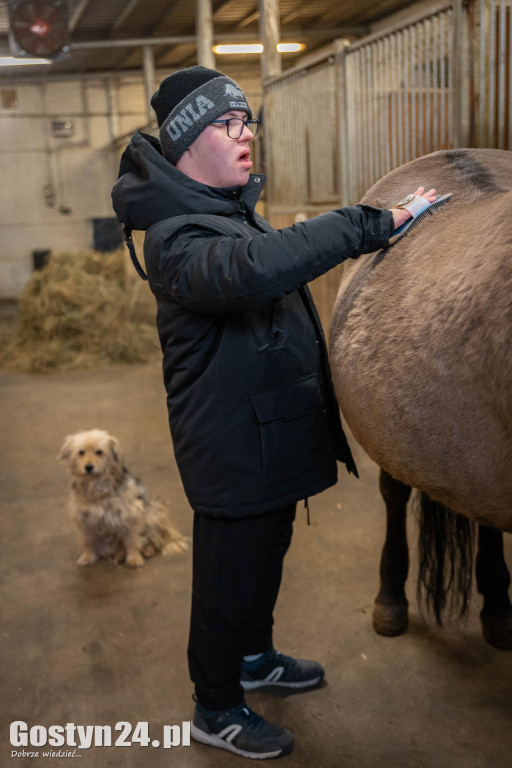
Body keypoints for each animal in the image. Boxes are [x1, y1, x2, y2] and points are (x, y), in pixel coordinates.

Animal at [59, 428, 188, 568]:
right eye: (81, 452)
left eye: (99, 452)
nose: (88, 467)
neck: (97, 486)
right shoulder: (85, 520)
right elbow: (88, 543)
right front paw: (87, 557)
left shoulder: (131, 516)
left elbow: (132, 540)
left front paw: (134, 558)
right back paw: (119, 555)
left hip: (152, 515)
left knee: (154, 540)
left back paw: (147, 550)